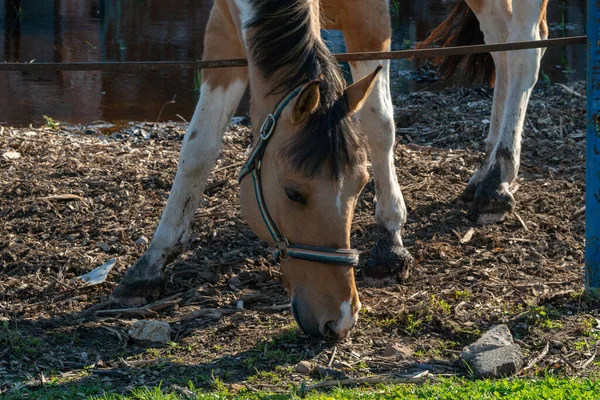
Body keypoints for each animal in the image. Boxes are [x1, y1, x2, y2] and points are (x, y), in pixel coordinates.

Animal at [111, 0, 548, 338]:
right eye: (293, 192)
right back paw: (486, 168)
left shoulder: (369, 18)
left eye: (362, 185)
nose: (339, 319)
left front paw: (390, 241)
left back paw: (497, 181)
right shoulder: (224, 29)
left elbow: (379, 123)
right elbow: (199, 145)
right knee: (501, 41)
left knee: (526, 48)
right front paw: (151, 263)